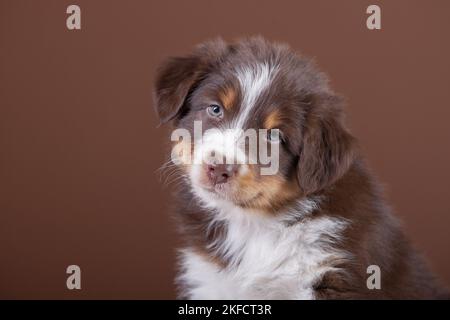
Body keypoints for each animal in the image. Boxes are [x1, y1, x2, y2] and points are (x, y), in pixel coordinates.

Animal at [153, 37, 444, 300]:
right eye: (215, 109)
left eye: (273, 137)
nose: (218, 169)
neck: (254, 225)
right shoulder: (211, 280)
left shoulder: (337, 276)